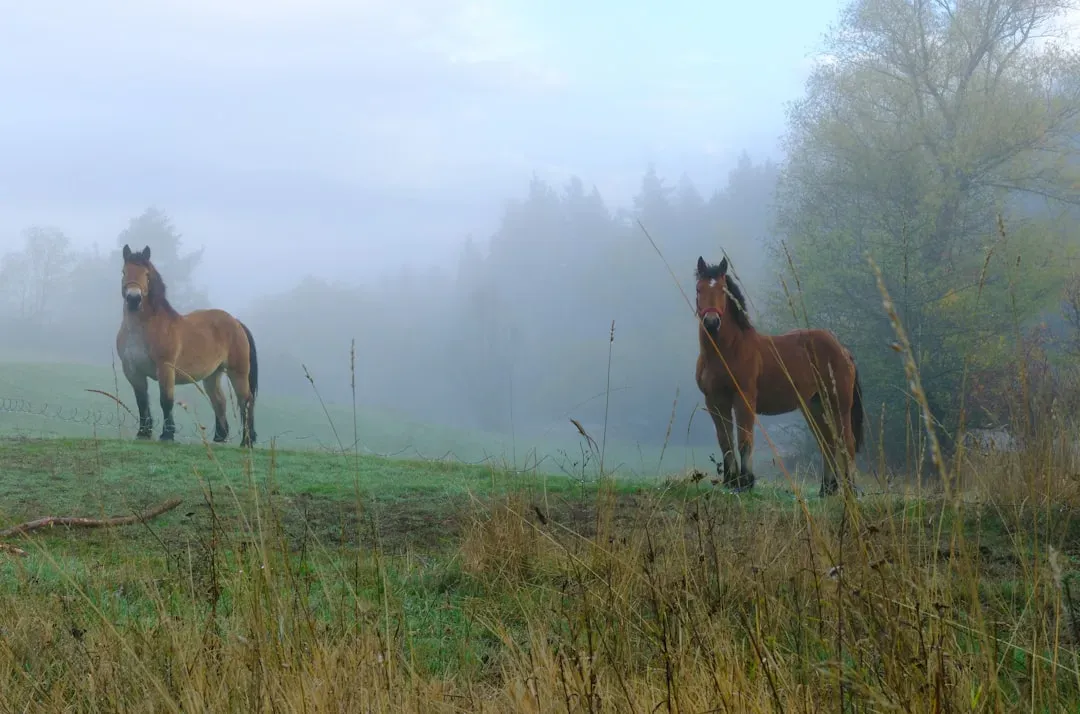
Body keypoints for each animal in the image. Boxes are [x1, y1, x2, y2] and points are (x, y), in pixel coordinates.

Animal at [116, 244, 259, 447]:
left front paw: (167, 434)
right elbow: (142, 401)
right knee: (219, 401)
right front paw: (143, 433)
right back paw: (220, 437)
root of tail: (236, 322)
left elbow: (166, 400)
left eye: (146, 274)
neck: (141, 330)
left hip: (237, 372)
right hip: (212, 375)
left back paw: (247, 441)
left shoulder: (165, 368)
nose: (134, 299)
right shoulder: (132, 371)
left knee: (246, 401)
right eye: (124, 271)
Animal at [693, 255, 864, 496]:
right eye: (699, 289)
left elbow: (744, 439)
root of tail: (843, 350)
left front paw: (746, 482)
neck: (728, 351)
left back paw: (850, 490)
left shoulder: (744, 398)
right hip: (815, 406)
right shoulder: (715, 401)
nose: (711, 322)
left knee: (846, 443)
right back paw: (827, 490)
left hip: (839, 404)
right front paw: (730, 482)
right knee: (827, 443)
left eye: (723, 290)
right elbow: (725, 441)